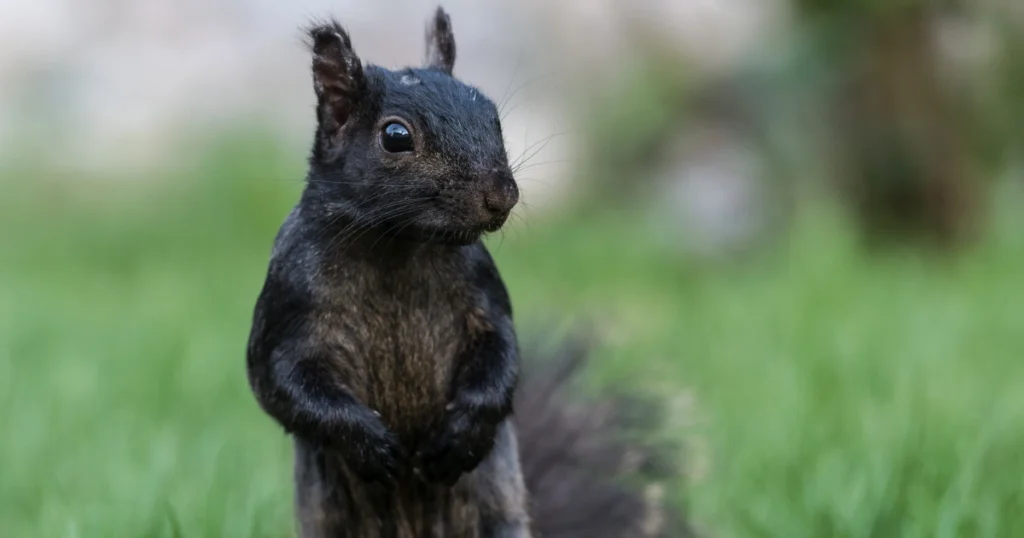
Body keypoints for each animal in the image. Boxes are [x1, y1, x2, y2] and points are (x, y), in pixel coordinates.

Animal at [244, 8, 688, 536]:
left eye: (493, 117)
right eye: (395, 136)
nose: (502, 194)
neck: (397, 246)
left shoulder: (484, 293)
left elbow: (502, 357)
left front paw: (462, 436)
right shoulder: (291, 294)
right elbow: (278, 382)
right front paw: (370, 444)